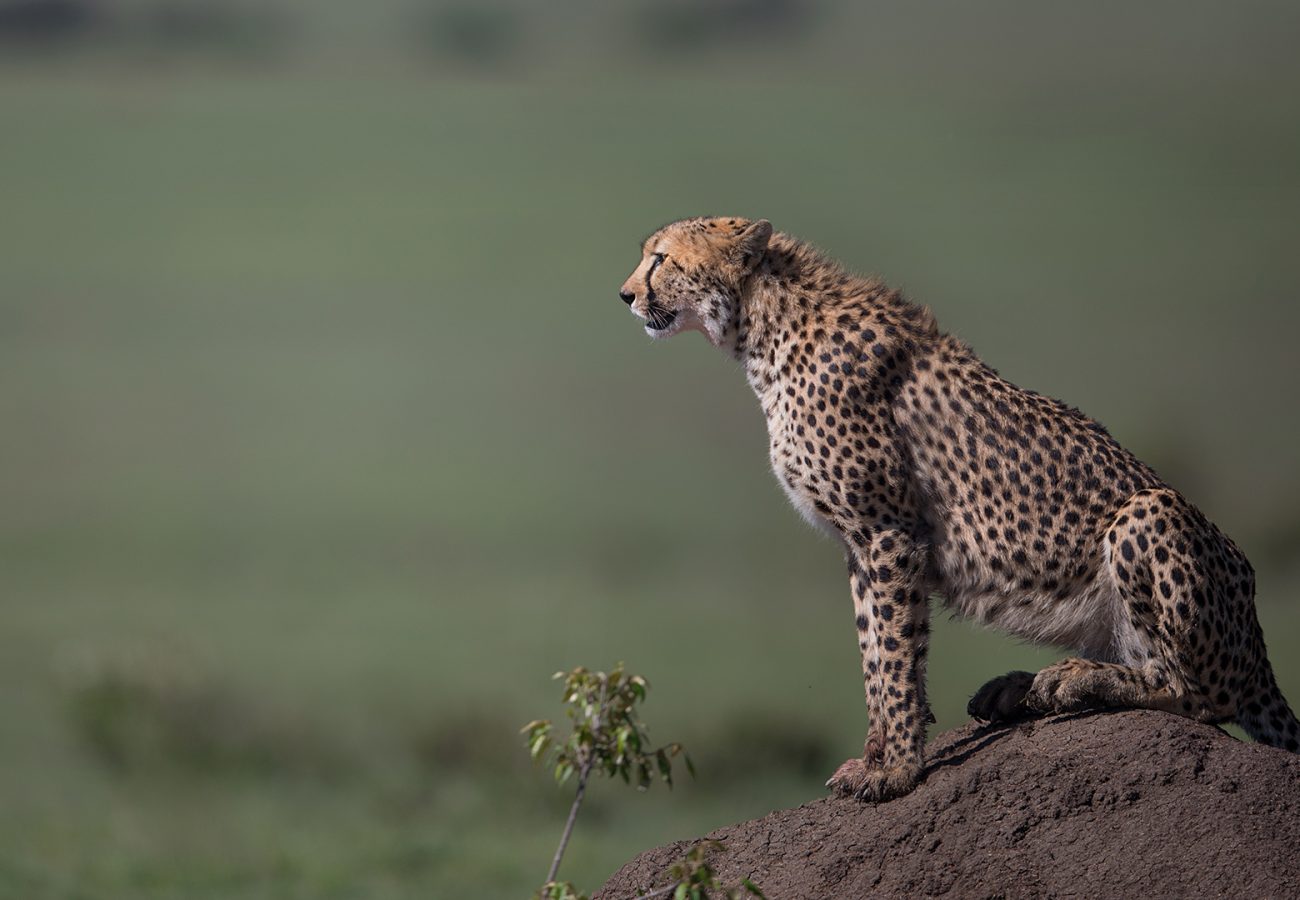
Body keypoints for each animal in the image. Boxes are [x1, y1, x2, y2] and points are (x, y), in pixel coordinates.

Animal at [618, 215, 1300, 801]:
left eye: (662, 258)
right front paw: (878, 756)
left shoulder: (888, 534)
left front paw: (895, 770)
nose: (624, 295)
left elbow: (894, 653)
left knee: (1199, 694)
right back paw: (1025, 687)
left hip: (1151, 511)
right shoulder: (862, 545)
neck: (764, 327)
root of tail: (1254, 626)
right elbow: (876, 650)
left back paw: (1074, 679)